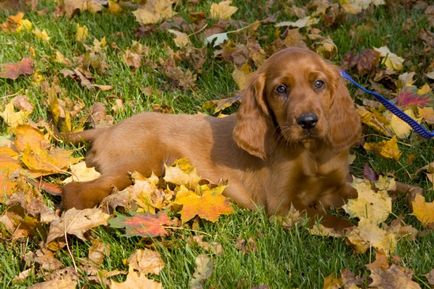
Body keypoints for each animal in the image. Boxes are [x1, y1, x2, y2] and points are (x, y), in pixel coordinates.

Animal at [63, 47, 362, 227]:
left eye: (319, 83)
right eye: (281, 89)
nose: (308, 122)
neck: (311, 152)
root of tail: (107, 128)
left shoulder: (340, 183)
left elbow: (359, 197)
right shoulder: (282, 205)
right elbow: (332, 221)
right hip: (138, 165)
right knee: (74, 190)